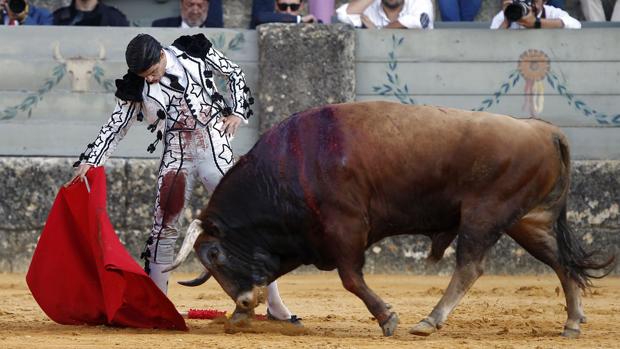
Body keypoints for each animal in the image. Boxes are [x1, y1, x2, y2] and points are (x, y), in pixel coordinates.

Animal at [163, 100, 612, 338]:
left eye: (215, 255)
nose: (241, 301)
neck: (290, 168)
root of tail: (544, 130)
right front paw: (240, 317)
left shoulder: (346, 227)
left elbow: (351, 278)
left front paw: (388, 318)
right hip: (528, 221)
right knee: (561, 262)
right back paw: (573, 321)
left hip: (484, 215)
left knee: (471, 266)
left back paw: (429, 320)